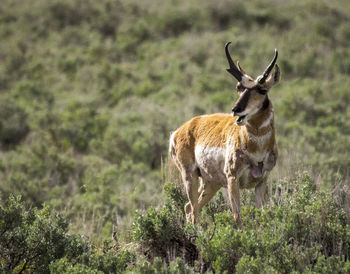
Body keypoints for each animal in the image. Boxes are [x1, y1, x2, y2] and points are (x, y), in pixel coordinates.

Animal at [168, 41, 280, 225]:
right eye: (239, 87)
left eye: (262, 90)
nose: (236, 110)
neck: (255, 149)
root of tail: (180, 131)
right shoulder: (232, 179)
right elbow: (237, 217)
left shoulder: (261, 181)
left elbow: (262, 214)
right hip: (190, 176)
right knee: (193, 210)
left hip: (210, 183)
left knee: (189, 207)